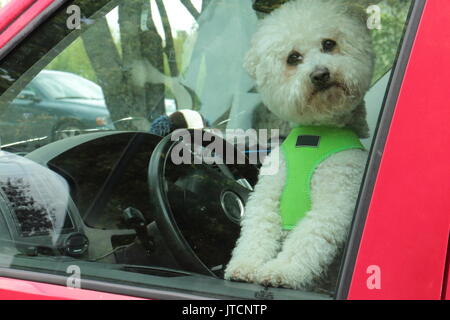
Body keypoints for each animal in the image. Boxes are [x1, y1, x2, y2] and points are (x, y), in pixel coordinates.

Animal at [225, 0, 376, 290]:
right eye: (293, 58)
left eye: (329, 44)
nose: (320, 74)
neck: (316, 134)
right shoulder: (268, 192)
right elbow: (256, 229)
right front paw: (245, 265)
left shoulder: (337, 197)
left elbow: (308, 237)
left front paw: (282, 270)